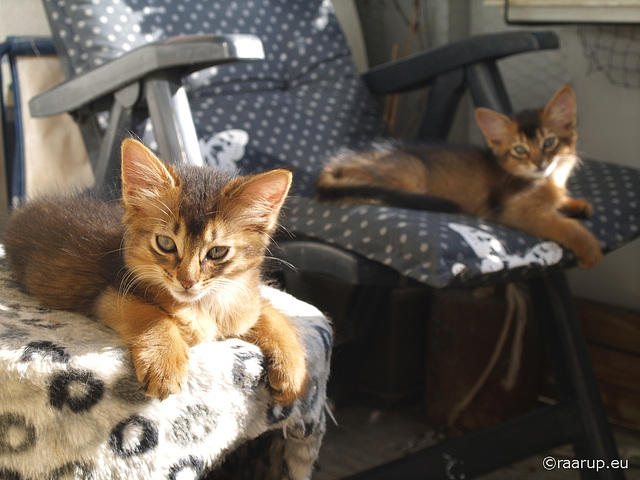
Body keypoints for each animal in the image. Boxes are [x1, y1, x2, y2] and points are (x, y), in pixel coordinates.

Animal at [3, 139, 308, 404]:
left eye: (217, 252)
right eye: (165, 243)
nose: (187, 281)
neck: (204, 306)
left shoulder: (245, 302)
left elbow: (272, 315)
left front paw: (294, 371)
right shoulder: (110, 294)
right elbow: (153, 315)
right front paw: (165, 364)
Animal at [318, 84, 604, 268]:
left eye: (549, 142)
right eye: (520, 150)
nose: (539, 163)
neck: (549, 180)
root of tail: (337, 161)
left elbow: (561, 205)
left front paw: (577, 205)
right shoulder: (517, 211)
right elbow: (564, 226)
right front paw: (590, 248)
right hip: (411, 174)